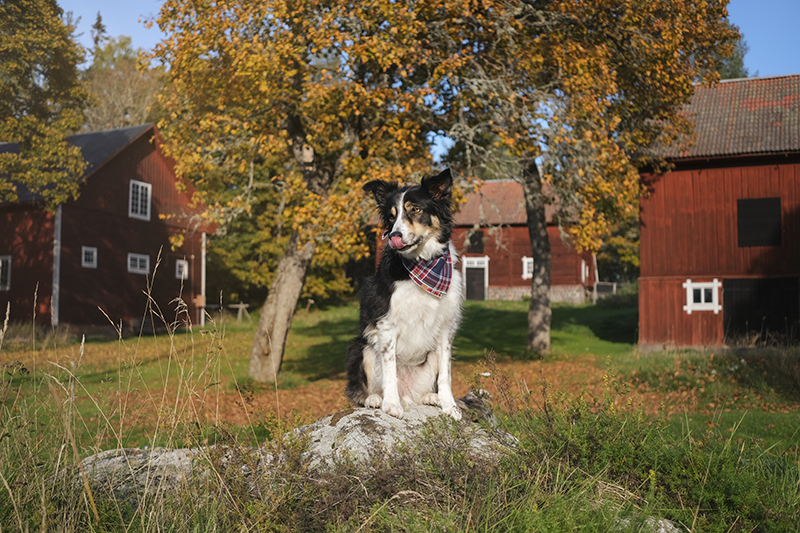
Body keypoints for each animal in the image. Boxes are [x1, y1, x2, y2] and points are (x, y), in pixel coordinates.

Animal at [346, 168, 462, 418]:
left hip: (429, 357)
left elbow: (446, 375)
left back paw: (431, 397)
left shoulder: (446, 328)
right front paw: (391, 404)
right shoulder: (387, 324)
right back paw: (375, 399)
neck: (423, 263)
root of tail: (407, 394)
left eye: (415, 210)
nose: (394, 236)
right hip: (362, 347)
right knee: (364, 390)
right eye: (392, 216)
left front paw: (449, 405)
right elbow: (390, 371)